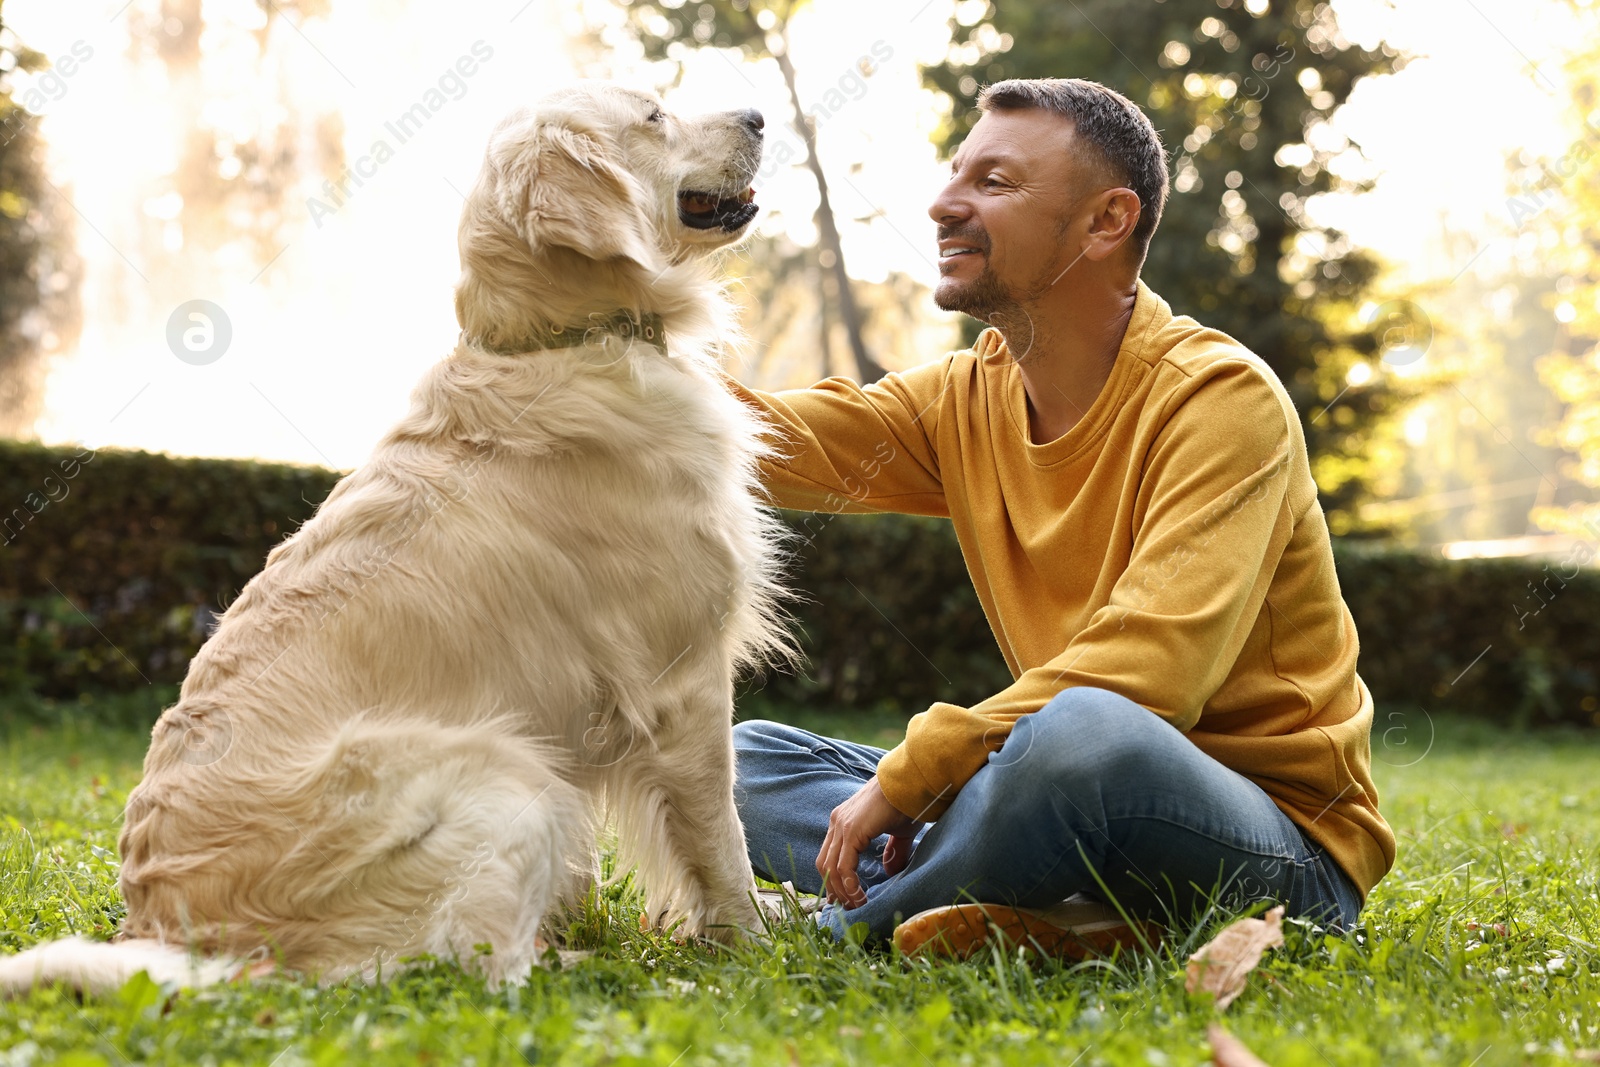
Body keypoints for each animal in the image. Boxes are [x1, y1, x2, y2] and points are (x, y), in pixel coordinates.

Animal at [0, 87, 793, 998]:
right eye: (655, 116)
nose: (759, 115)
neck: (564, 338)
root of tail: (167, 932)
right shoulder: (683, 679)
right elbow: (718, 835)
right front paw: (751, 942)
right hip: (510, 772)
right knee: (466, 971)